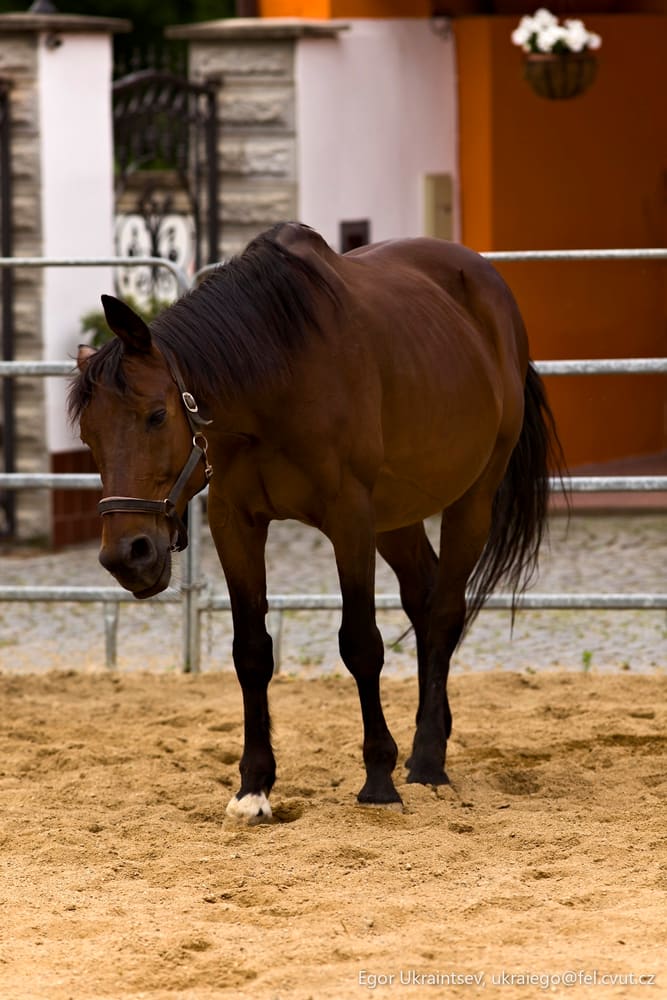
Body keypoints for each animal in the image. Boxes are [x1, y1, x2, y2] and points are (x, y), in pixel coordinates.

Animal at [69, 222, 563, 823]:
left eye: (157, 415)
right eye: (87, 437)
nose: (128, 556)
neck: (275, 377)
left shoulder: (349, 517)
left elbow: (361, 644)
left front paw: (378, 779)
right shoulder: (236, 523)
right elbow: (250, 651)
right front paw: (254, 786)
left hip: (472, 498)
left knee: (446, 610)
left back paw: (426, 761)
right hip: (396, 515)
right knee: (424, 601)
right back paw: (434, 738)